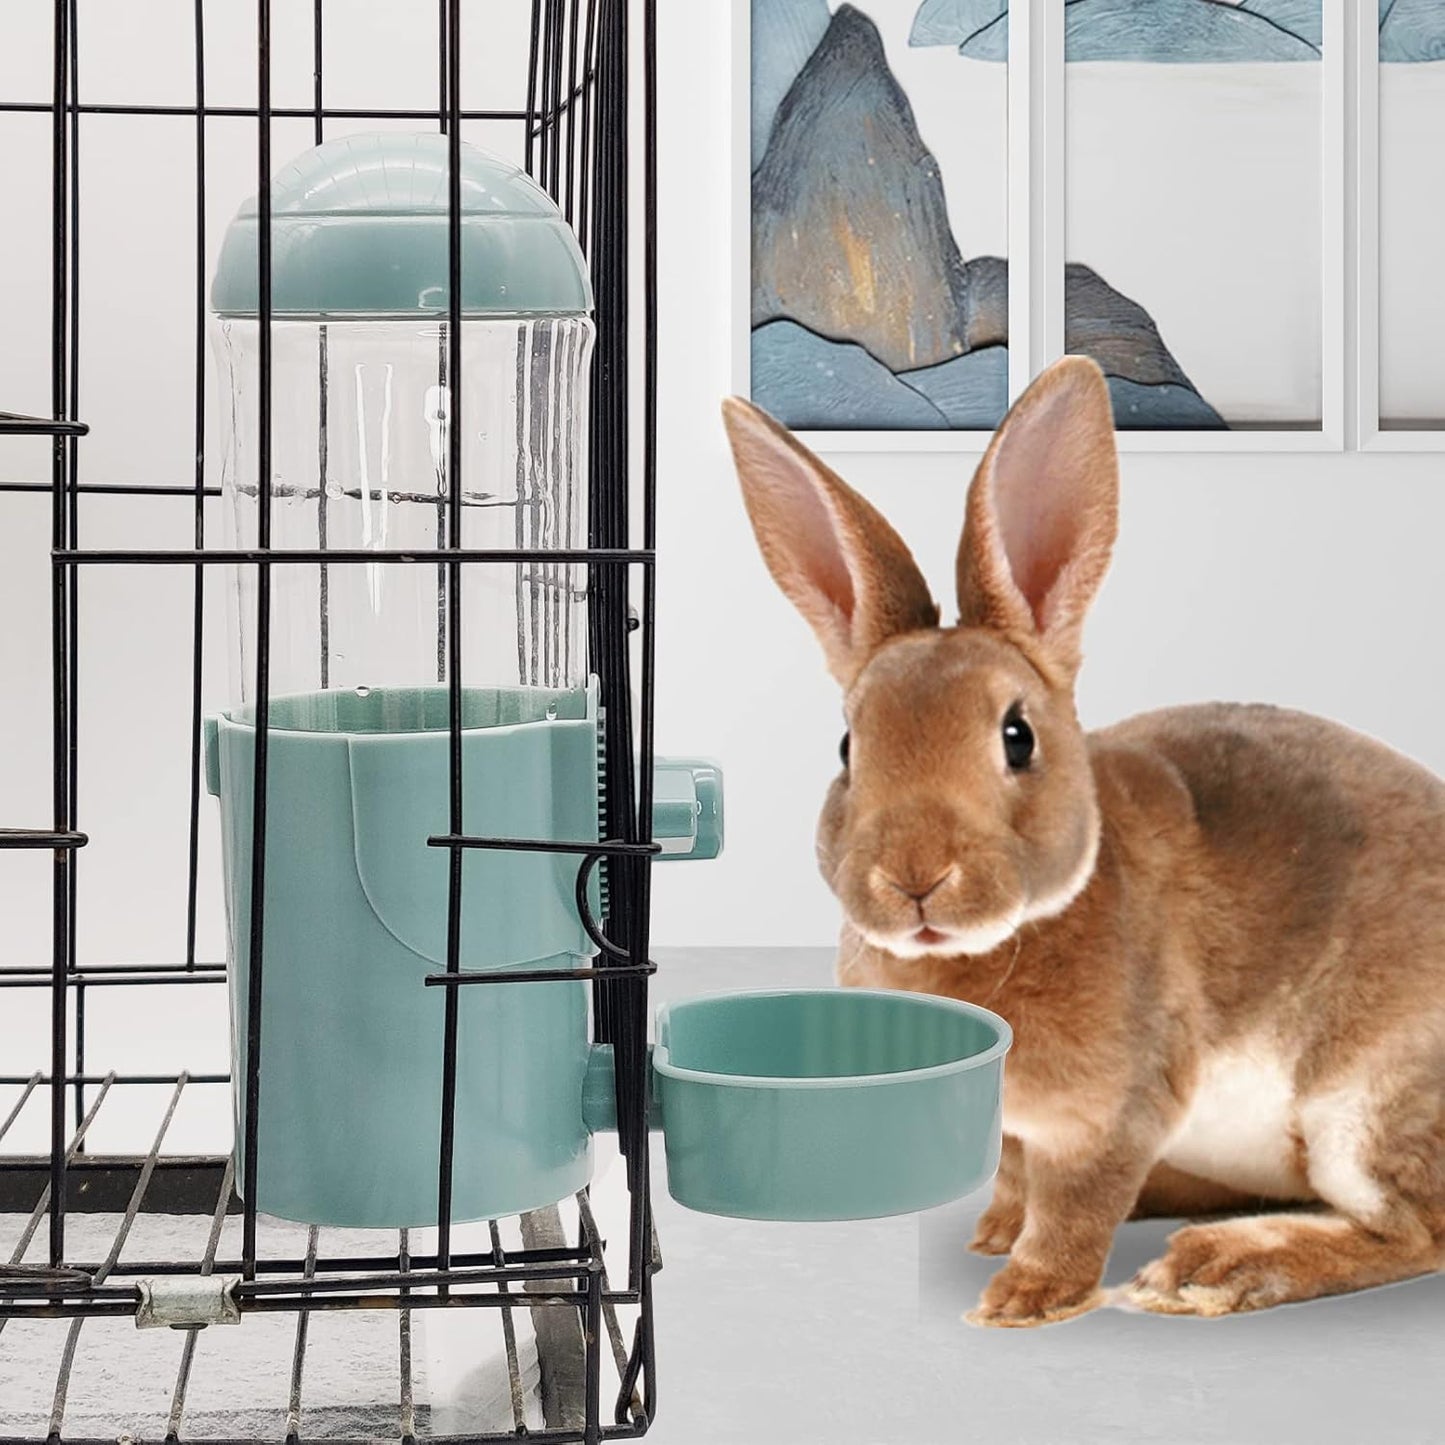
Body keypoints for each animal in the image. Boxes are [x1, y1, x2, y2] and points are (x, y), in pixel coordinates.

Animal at [720, 356, 1445, 1327]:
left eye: (1016, 735)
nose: (914, 877)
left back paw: (1211, 1266)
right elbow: (1017, 1179)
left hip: (1365, 1106)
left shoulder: (1111, 1109)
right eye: (847, 746)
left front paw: (1021, 1299)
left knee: (1413, 1228)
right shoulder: (1015, 1128)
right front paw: (992, 1235)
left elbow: (1076, 1201)